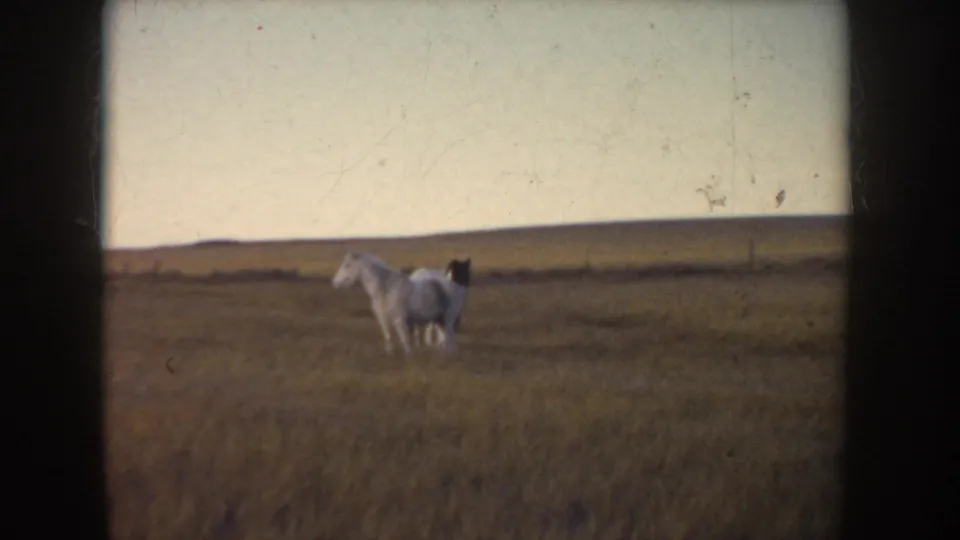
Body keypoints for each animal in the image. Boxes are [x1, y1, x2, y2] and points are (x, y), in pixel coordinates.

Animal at [331, 251, 466, 356]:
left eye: (347, 265)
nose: (335, 283)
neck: (386, 288)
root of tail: (454, 284)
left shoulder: (399, 320)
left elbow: (404, 339)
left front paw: (409, 357)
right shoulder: (383, 319)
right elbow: (388, 336)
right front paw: (390, 353)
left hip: (448, 319)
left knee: (449, 337)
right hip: (439, 320)